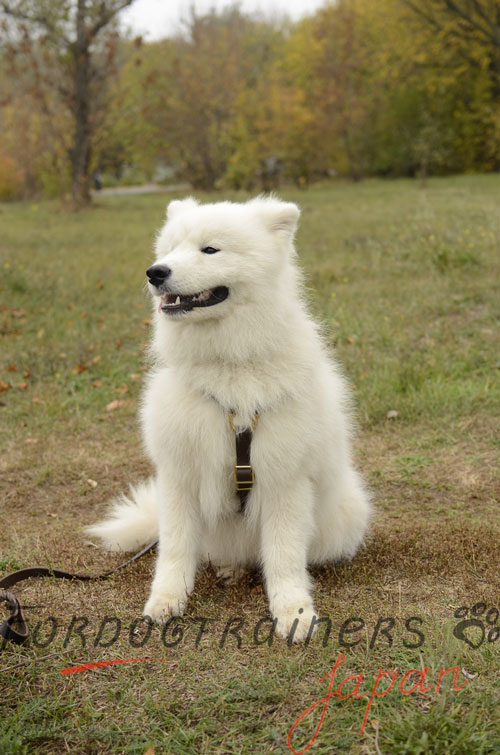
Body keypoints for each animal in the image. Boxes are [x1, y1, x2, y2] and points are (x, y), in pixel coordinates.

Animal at [88, 196, 372, 644]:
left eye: (210, 250)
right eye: (169, 249)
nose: (155, 272)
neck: (229, 365)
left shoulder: (284, 480)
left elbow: (284, 556)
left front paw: (294, 611)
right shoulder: (180, 476)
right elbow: (174, 550)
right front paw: (165, 602)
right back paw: (229, 568)